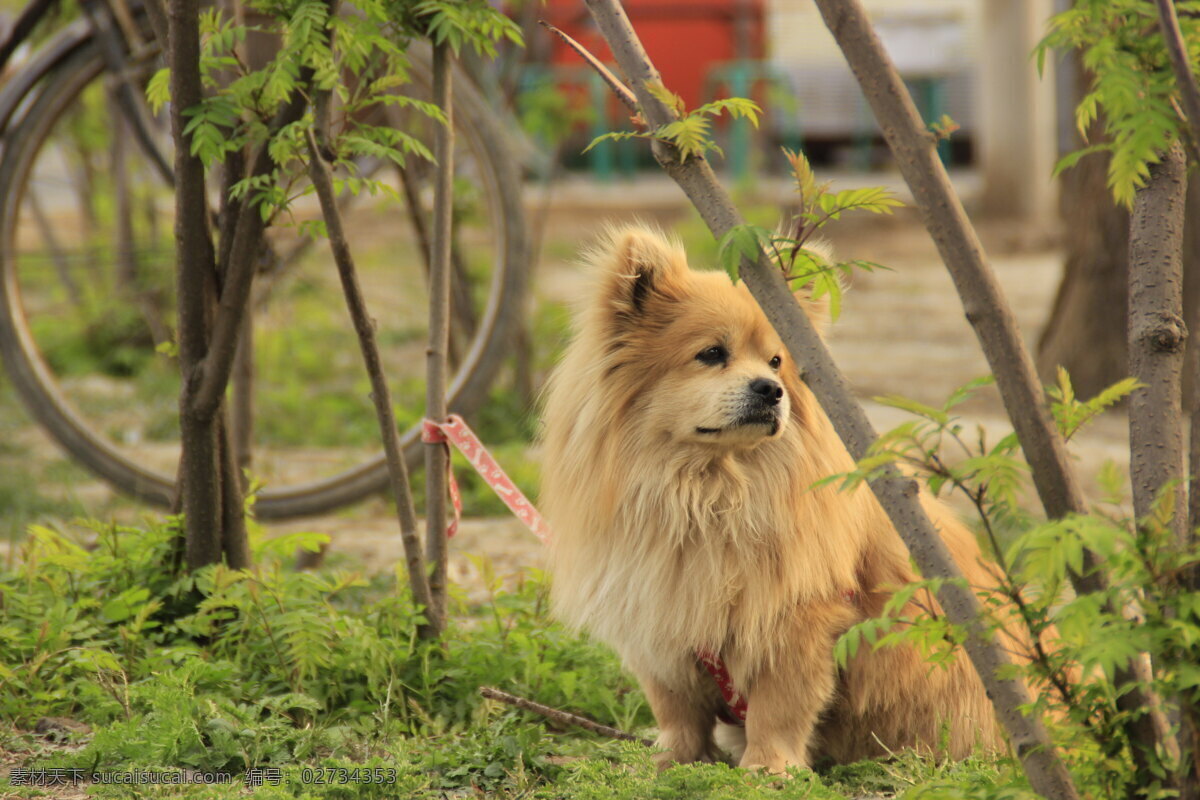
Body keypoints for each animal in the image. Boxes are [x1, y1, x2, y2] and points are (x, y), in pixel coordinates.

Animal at [544, 224, 1012, 767]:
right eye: (712, 354)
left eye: (775, 361)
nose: (771, 389)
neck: (710, 495)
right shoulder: (661, 620)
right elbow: (676, 709)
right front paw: (672, 760)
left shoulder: (793, 620)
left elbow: (779, 705)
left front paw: (769, 767)